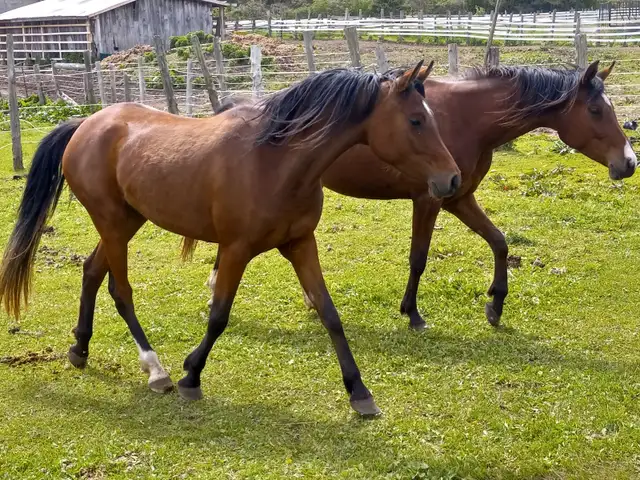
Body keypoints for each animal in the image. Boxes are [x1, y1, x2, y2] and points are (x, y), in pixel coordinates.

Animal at [0, 62, 462, 416]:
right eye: (416, 120)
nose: (452, 179)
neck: (276, 160)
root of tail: (86, 123)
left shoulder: (301, 244)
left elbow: (330, 313)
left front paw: (360, 393)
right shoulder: (236, 250)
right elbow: (218, 316)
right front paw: (191, 375)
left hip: (126, 221)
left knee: (92, 272)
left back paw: (80, 349)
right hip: (112, 223)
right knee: (120, 289)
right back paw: (156, 370)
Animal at [206, 61, 637, 331]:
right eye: (596, 110)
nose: (629, 163)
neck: (467, 117)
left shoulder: (459, 197)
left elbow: (499, 242)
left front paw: (495, 305)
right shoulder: (430, 199)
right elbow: (419, 258)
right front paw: (412, 314)